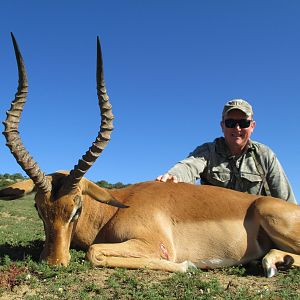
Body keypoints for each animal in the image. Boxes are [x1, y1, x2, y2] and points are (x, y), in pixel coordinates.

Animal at [0, 34, 300, 278]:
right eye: (39, 208)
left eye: (76, 208)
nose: (53, 262)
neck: (112, 210)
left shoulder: (153, 244)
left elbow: (93, 252)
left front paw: (186, 265)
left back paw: (272, 262)